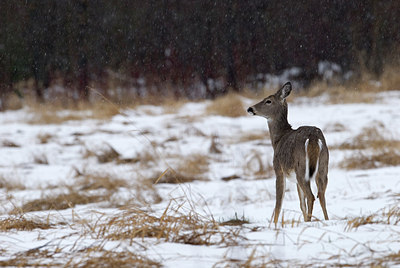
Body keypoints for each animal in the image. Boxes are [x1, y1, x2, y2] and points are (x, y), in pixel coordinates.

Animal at [248, 81, 330, 224]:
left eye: (268, 101)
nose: (250, 109)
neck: (278, 140)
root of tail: (313, 138)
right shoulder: (295, 180)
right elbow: (301, 204)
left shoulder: (278, 169)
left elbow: (278, 202)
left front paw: (274, 225)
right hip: (323, 166)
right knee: (321, 194)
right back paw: (325, 220)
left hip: (301, 168)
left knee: (312, 196)